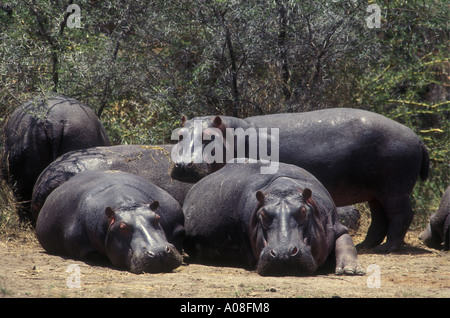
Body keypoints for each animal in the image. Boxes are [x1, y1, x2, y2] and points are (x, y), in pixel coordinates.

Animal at [171, 108, 428, 252]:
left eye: (208, 137)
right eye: (180, 135)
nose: (183, 165)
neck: (231, 134)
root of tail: (417, 137)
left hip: (394, 189)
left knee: (401, 215)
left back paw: (388, 249)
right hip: (375, 191)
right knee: (379, 218)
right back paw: (365, 247)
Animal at [181, 161, 364, 276]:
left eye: (303, 212)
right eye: (262, 215)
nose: (283, 253)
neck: (284, 189)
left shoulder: (334, 223)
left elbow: (345, 241)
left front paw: (351, 270)